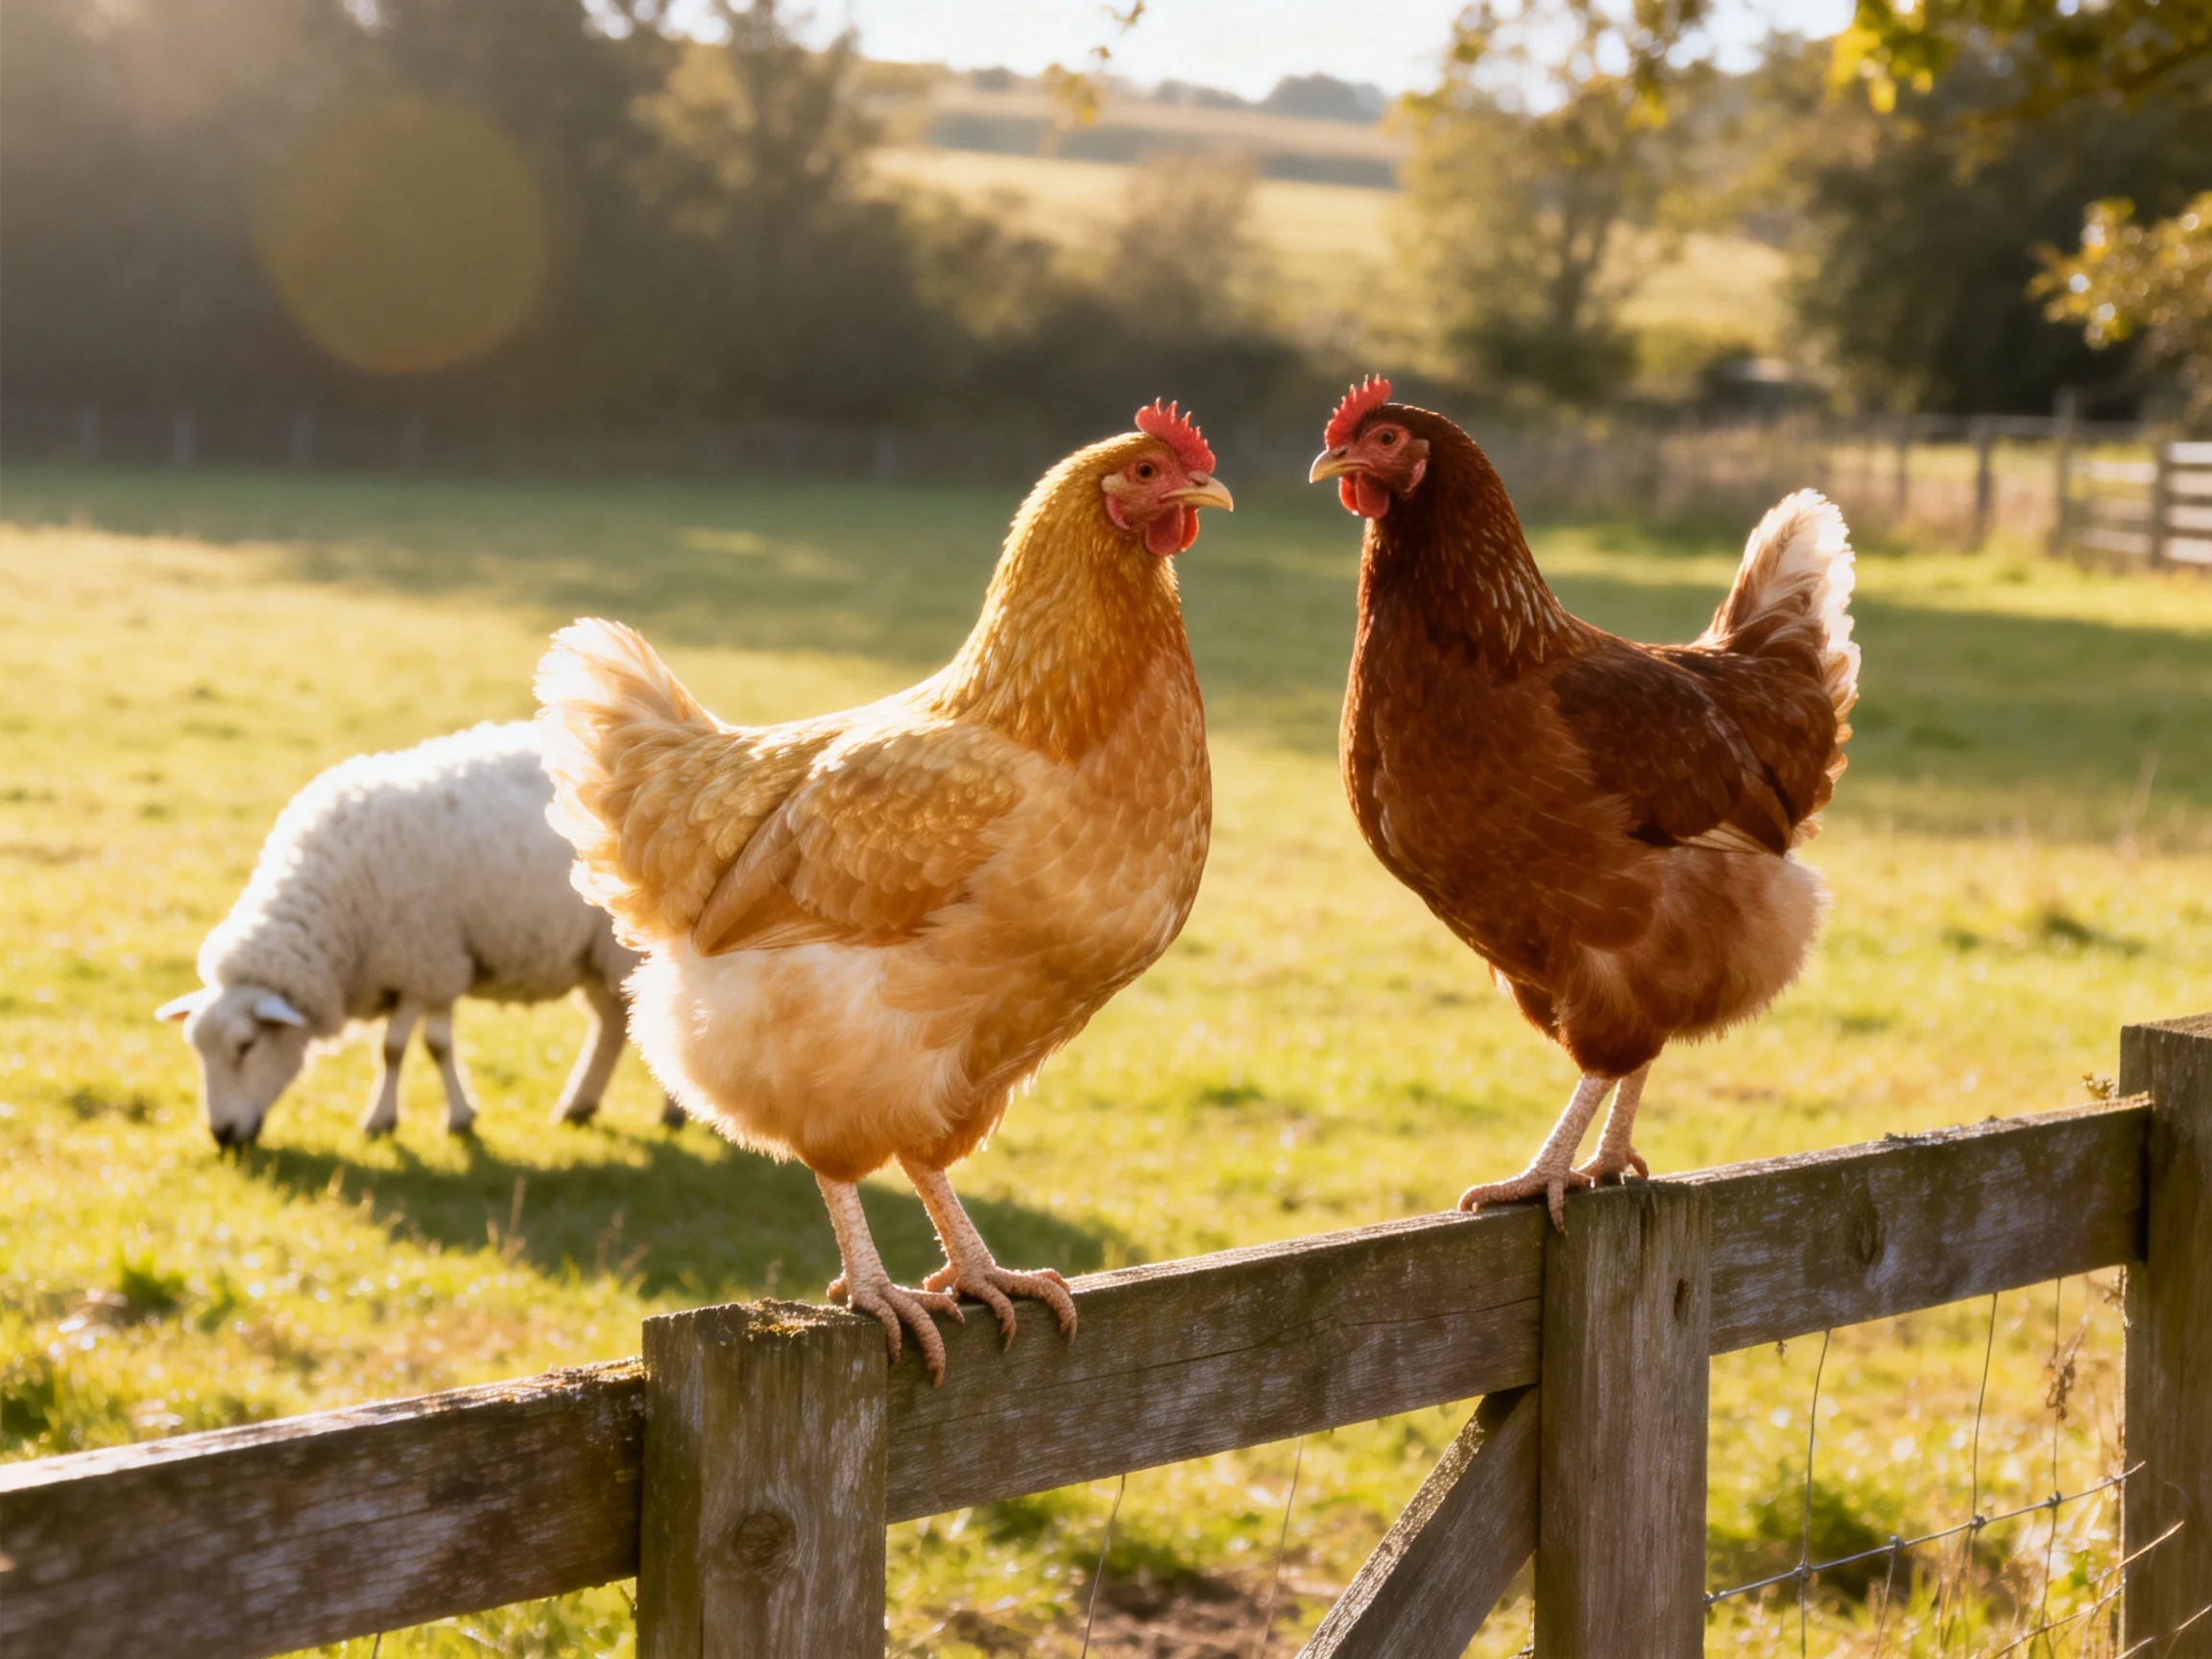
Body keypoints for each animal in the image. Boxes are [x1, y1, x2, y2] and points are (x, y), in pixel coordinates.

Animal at [156, 720, 683, 1145]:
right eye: (196, 1050)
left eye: (246, 1045)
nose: (222, 1136)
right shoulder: (429, 964)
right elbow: (426, 1046)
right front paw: (451, 1115)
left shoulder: (423, 959)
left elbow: (402, 1048)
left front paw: (393, 1121)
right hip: (597, 954)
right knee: (612, 1023)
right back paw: (579, 1106)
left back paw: (669, 1112)